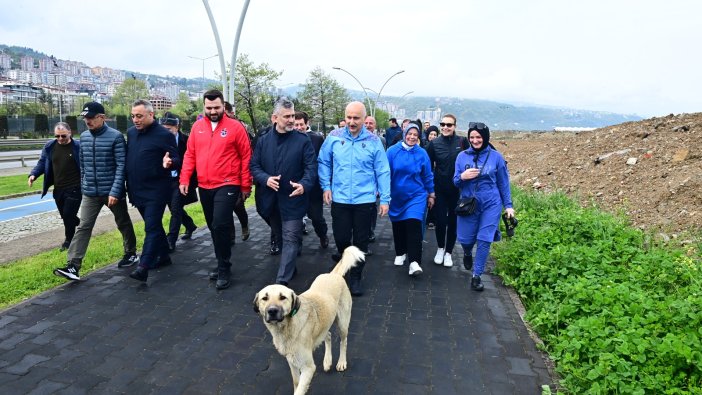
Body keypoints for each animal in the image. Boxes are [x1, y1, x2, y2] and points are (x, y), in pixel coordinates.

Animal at [253, 246, 366, 394]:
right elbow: (296, 383)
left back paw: (341, 362)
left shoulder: (308, 367)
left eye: (283, 297)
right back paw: (327, 361)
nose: (272, 311)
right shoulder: (292, 361)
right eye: (264, 298)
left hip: (342, 323)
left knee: (343, 341)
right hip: (324, 324)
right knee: (328, 335)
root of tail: (334, 275)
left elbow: (300, 389)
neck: (287, 327)